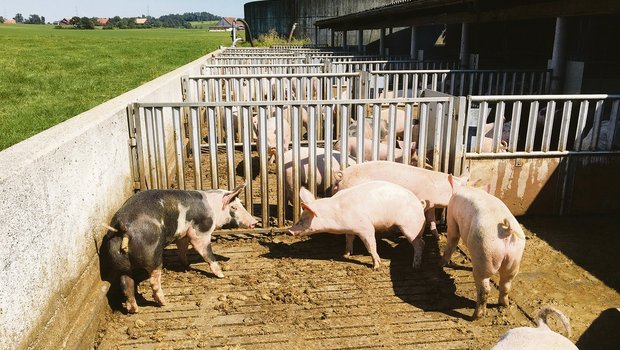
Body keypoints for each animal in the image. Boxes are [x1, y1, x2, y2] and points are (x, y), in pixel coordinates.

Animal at [101, 185, 256, 314]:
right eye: (234, 207)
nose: (255, 221)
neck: (214, 209)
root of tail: (123, 226)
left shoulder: (183, 234)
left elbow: (182, 248)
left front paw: (185, 265)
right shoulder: (201, 232)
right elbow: (205, 251)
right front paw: (221, 275)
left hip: (119, 260)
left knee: (126, 284)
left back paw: (134, 310)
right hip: (152, 255)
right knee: (153, 280)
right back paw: (163, 302)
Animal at [290, 182, 426, 270]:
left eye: (304, 219)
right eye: (300, 217)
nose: (289, 231)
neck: (335, 215)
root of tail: (420, 203)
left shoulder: (366, 227)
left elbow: (371, 246)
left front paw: (376, 266)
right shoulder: (350, 229)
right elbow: (349, 240)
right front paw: (345, 254)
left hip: (410, 226)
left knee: (419, 244)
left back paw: (415, 266)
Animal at [444, 174, 524, 318]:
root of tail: (506, 230)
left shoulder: (452, 216)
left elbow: (452, 240)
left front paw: (441, 263)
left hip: (485, 251)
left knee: (484, 289)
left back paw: (477, 315)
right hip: (514, 258)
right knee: (506, 284)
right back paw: (504, 304)